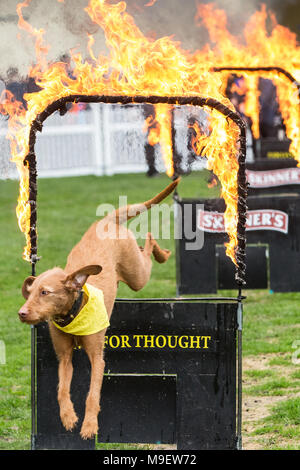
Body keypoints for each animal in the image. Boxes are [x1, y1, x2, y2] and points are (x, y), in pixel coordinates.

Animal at [18, 177, 179, 440]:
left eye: (45, 293)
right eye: (29, 293)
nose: (22, 313)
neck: (73, 314)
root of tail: (106, 221)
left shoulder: (97, 357)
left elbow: (92, 395)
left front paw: (89, 426)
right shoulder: (64, 358)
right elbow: (61, 390)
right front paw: (68, 417)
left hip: (137, 275)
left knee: (148, 242)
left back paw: (162, 253)